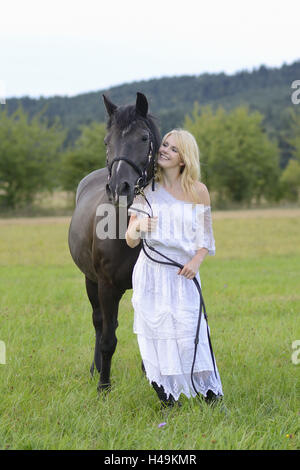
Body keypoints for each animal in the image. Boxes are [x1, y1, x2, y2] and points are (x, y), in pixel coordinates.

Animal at [68, 92, 162, 392]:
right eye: (107, 141)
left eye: (143, 138)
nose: (119, 187)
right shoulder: (107, 286)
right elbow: (109, 339)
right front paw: (103, 387)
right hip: (91, 281)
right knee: (100, 324)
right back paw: (95, 369)